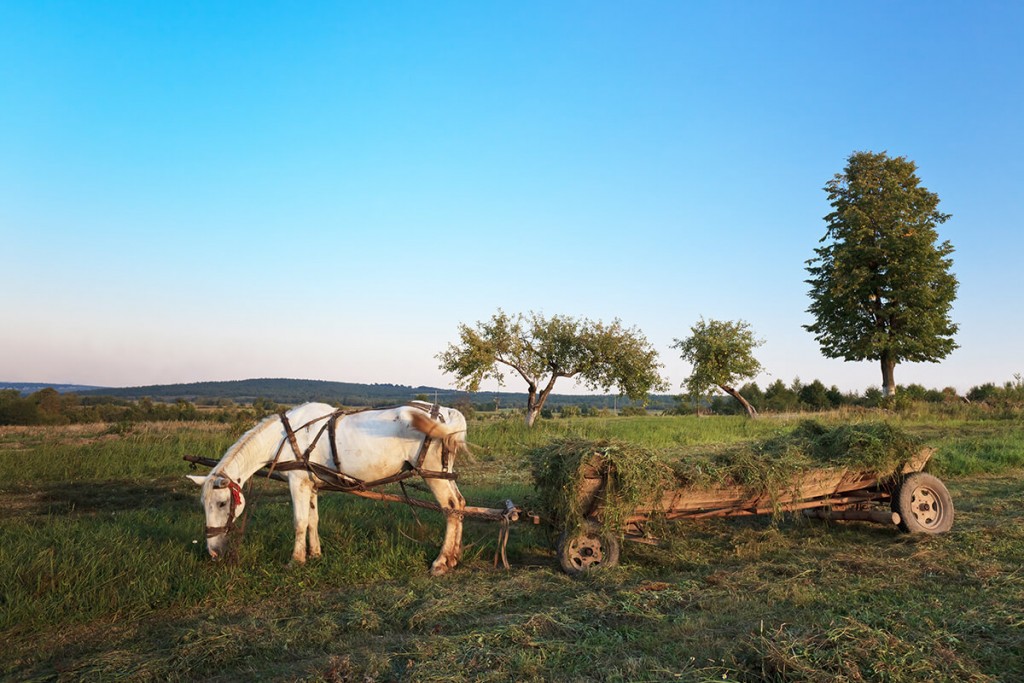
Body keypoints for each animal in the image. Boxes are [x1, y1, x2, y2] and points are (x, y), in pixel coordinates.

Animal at [185, 403, 468, 573]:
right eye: (203, 505)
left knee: (450, 508)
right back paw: (454, 557)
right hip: (443, 473)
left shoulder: (297, 481)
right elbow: (313, 520)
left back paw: (441, 562)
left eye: (222, 503)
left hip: (433, 475)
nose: (213, 553)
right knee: (461, 505)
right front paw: (315, 554)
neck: (284, 437)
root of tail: (446, 414)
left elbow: (299, 521)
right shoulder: (311, 484)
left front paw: (296, 560)